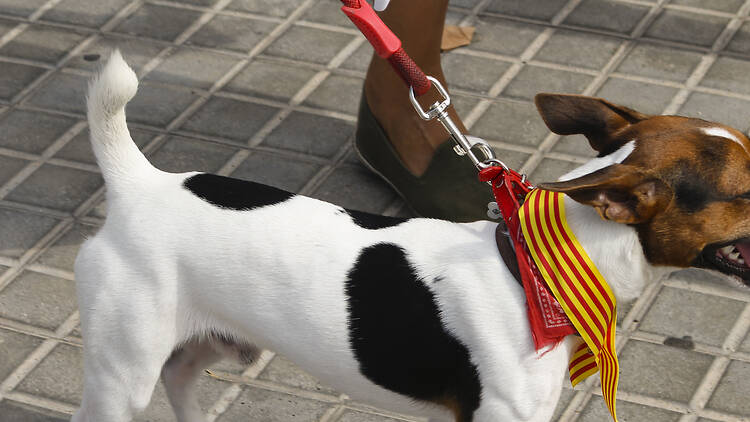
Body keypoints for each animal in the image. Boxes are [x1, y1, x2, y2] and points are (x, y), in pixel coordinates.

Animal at [70, 52, 750, 422]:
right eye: (744, 191)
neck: (535, 267)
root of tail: (138, 182)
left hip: (201, 344)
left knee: (180, 381)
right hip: (121, 370)